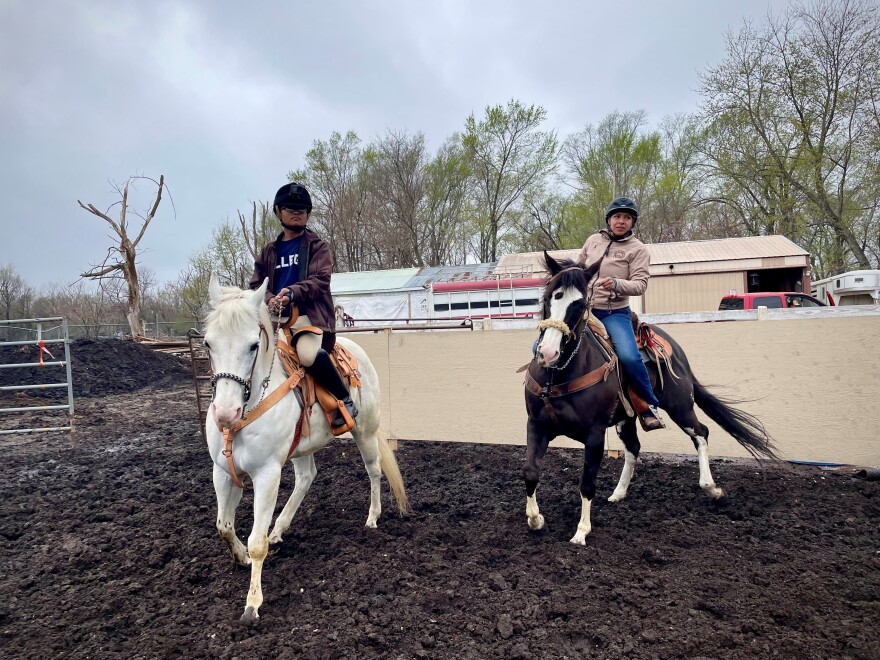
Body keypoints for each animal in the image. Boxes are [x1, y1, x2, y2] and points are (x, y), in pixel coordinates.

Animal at [204, 272, 410, 620]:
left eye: (253, 345)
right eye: (207, 343)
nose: (225, 414)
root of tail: (355, 348)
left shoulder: (267, 474)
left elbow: (256, 541)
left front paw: (252, 603)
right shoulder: (223, 471)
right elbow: (224, 526)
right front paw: (240, 556)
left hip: (366, 432)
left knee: (374, 470)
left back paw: (372, 517)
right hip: (301, 448)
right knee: (306, 477)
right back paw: (279, 529)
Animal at [524, 251, 776, 540]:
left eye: (579, 305)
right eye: (547, 297)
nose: (548, 353)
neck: (559, 374)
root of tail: (674, 347)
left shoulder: (594, 434)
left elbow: (587, 483)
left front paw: (581, 532)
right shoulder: (536, 424)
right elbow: (530, 472)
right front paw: (536, 520)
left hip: (680, 405)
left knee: (701, 433)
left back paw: (712, 488)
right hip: (626, 418)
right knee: (634, 447)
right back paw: (618, 493)